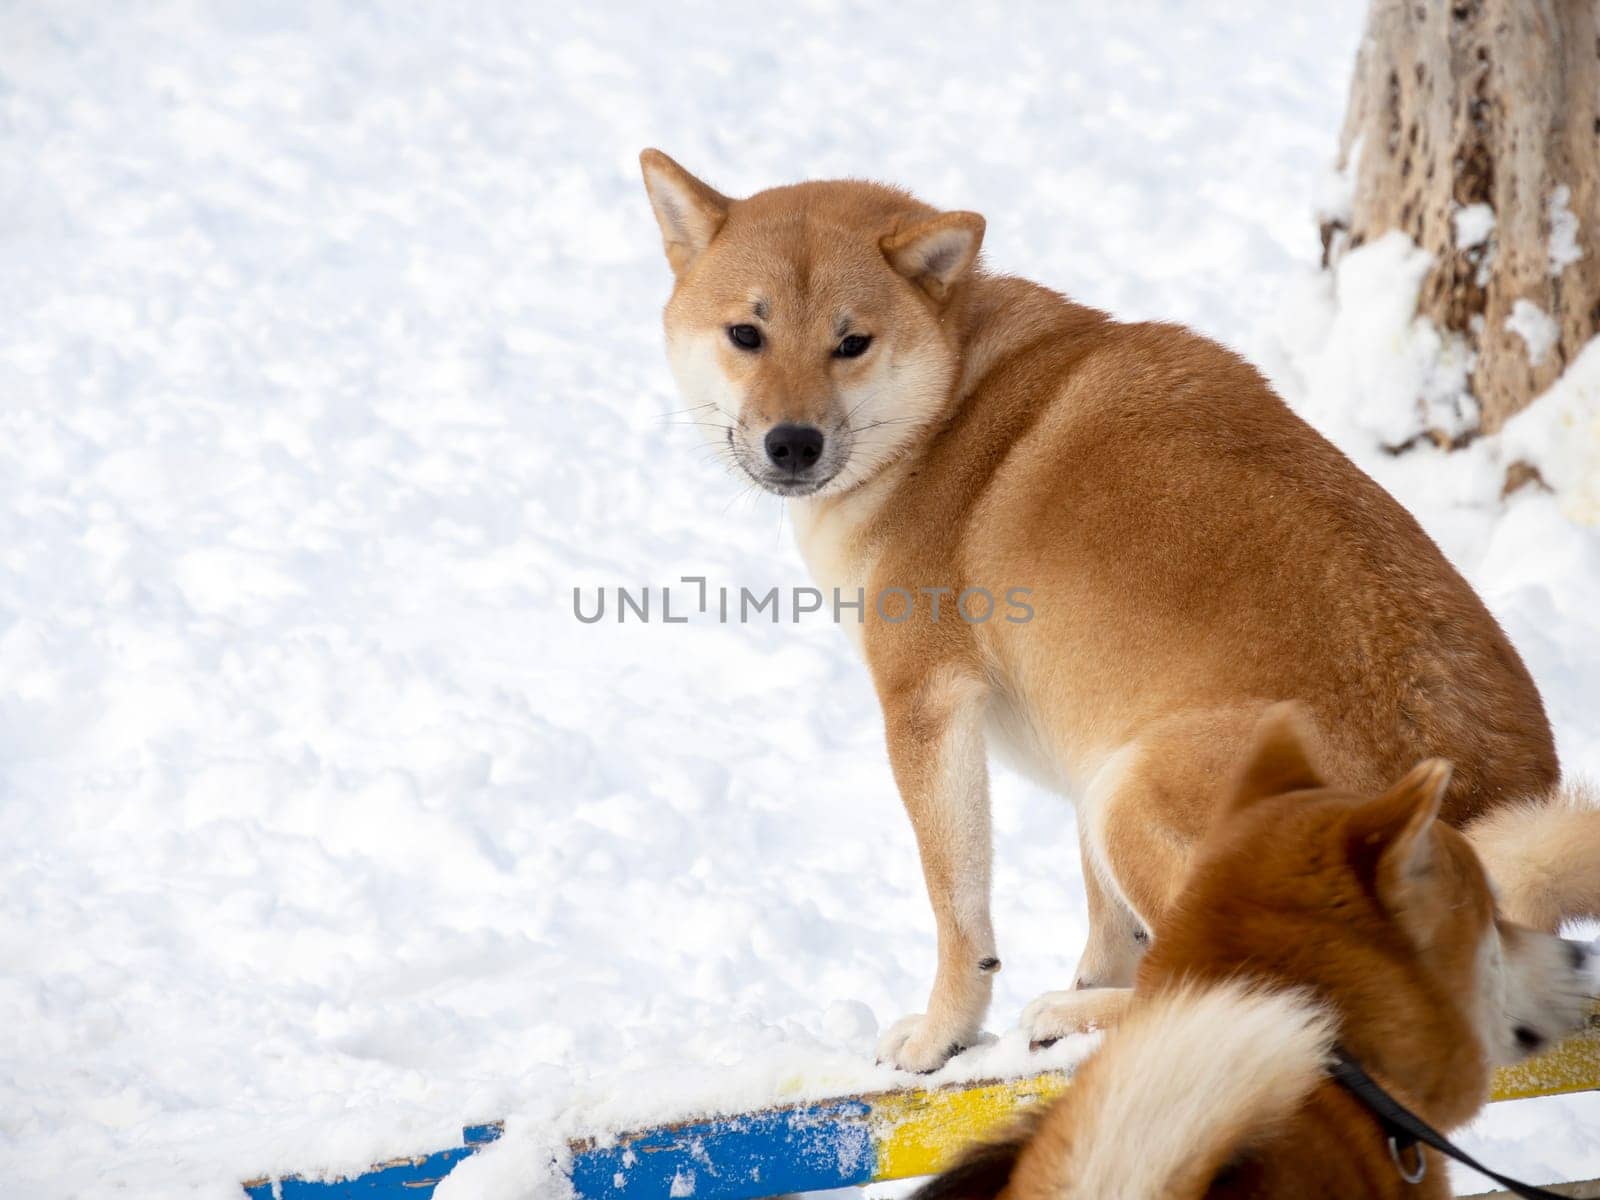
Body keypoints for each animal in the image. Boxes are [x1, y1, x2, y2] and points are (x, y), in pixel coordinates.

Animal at [636, 148, 1600, 1068]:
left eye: (853, 343)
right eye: (747, 334)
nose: (792, 444)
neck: (948, 410)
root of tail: (1472, 818)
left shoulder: (929, 706)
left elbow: (959, 911)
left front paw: (943, 1036)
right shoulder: (1082, 728)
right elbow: (1108, 926)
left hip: (1132, 788)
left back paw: (1076, 1018)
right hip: (1113, 776)